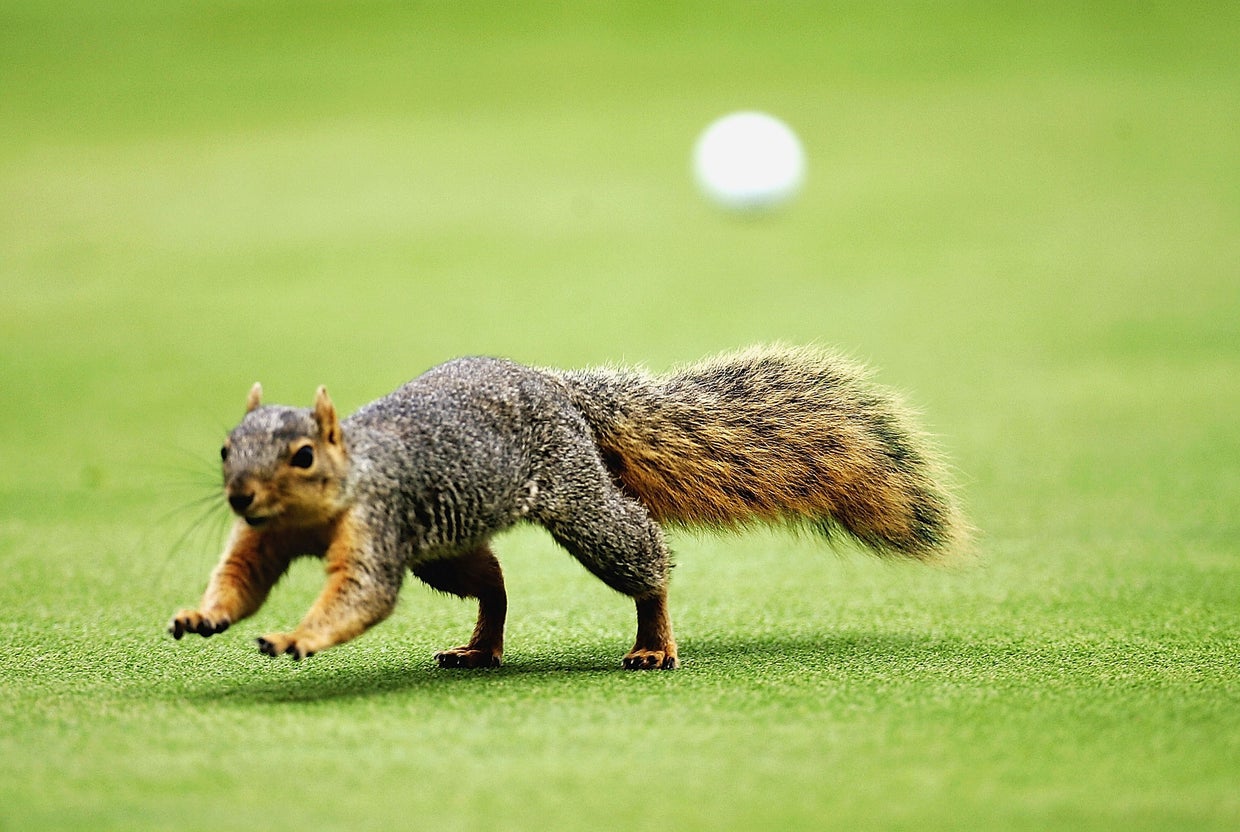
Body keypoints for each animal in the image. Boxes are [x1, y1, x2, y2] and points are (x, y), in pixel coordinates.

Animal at [168, 345, 967, 670]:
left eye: (304, 456)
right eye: (226, 448)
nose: (241, 494)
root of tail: (557, 387)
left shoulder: (381, 526)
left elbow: (360, 597)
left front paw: (297, 637)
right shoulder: (261, 539)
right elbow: (239, 582)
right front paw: (200, 616)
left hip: (580, 505)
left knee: (644, 558)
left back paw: (654, 642)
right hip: (447, 548)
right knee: (492, 586)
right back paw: (479, 647)